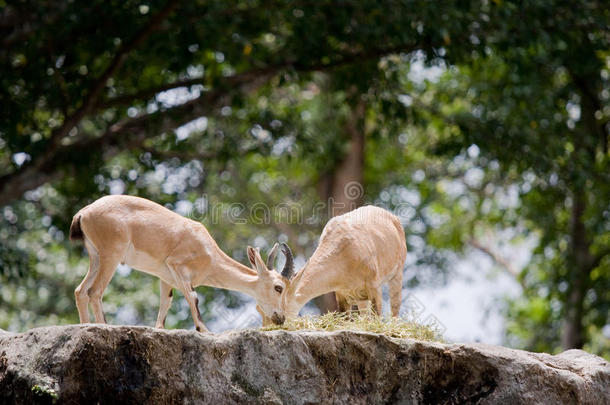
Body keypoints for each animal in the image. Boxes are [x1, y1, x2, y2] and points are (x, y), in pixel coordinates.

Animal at [70, 194, 290, 330]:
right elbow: (193, 297)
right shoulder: (178, 266)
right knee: (94, 291)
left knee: (80, 290)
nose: (281, 318)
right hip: (112, 255)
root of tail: (84, 212)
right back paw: (103, 326)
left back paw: (85, 326)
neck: (209, 254)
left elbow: (165, 304)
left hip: (96, 256)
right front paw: (204, 330)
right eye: (278, 287)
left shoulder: (166, 278)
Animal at [278, 205, 406, 318]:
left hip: (396, 276)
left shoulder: (374, 288)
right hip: (362, 299)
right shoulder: (341, 295)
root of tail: (392, 217)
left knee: (395, 310)